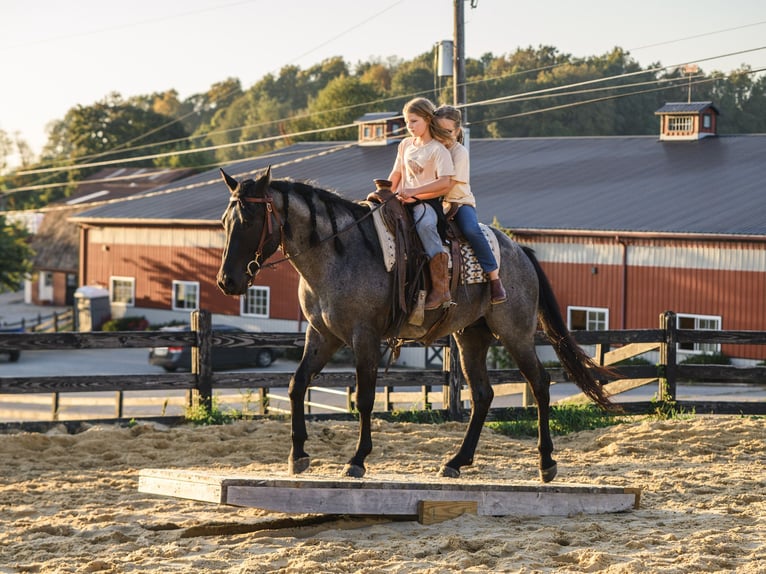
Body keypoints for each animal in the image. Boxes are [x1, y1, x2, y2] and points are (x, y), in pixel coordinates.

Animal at [216, 167, 616, 483]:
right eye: (224, 222)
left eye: (249, 221)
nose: (226, 281)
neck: (337, 253)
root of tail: (520, 252)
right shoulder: (322, 334)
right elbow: (296, 384)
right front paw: (298, 455)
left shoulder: (364, 337)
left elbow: (364, 398)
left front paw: (357, 460)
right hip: (471, 337)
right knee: (483, 395)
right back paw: (457, 461)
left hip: (515, 334)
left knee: (540, 384)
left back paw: (546, 462)